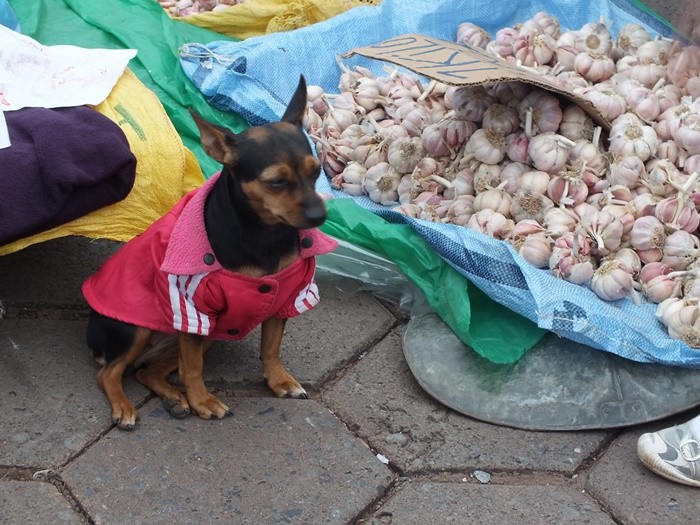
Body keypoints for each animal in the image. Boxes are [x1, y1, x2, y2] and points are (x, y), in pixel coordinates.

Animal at [80, 78, 338, 430]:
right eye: (276, 182)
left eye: (316, 172)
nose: (318, 216)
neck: (264, 235)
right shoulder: (191, 307)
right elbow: (193, 368)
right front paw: (202, 401)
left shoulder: (285, 293)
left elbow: (271, 347)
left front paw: (279, 381)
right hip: (141, 329)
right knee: (109, 373)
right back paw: (125, 407)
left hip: (207, 335)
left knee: (149, 372)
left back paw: (175, 399)